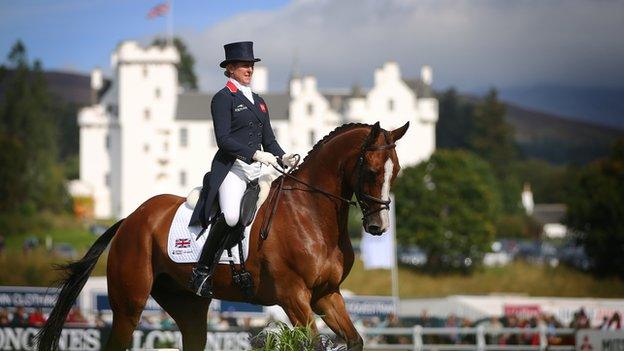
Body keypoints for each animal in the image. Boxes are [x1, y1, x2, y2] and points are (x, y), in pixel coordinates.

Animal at [37, 121, 410, 351]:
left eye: (396, 172)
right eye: (372, 171)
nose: (378, 227)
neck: (312, 213)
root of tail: (130, 219)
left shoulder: (326, 295)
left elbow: (355, 340)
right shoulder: (294, 297)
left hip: (187, 304)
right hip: (129, 304)